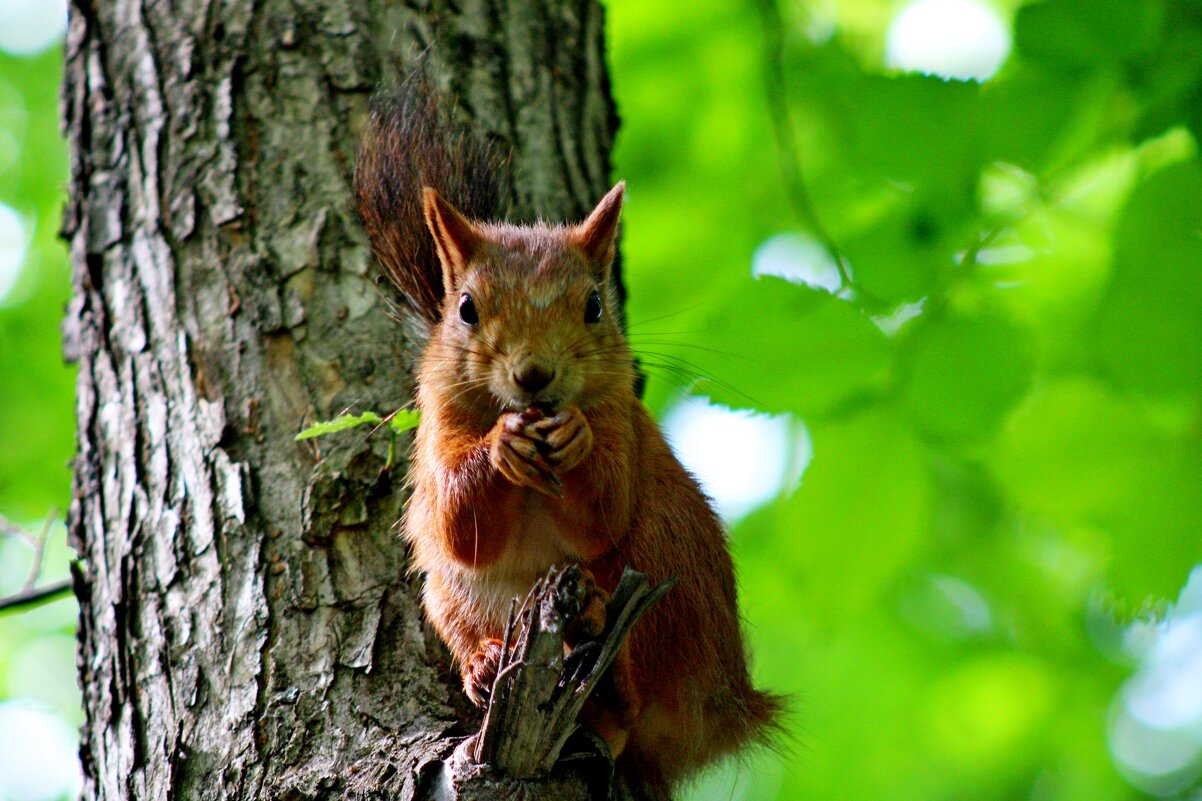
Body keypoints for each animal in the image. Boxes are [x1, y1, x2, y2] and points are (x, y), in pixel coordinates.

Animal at [353, 82, 778, 793]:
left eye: (595, 306)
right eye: (465, 309)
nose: (534, 375)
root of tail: (723, 708)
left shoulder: (620, 418)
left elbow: (602, 513)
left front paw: (573, 440)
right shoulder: (438, 427)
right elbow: (459, 527)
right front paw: (500, 446)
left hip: (665, 569)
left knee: (629, 691)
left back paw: (605, 666)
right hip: (447, 595)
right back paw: (484, 663)